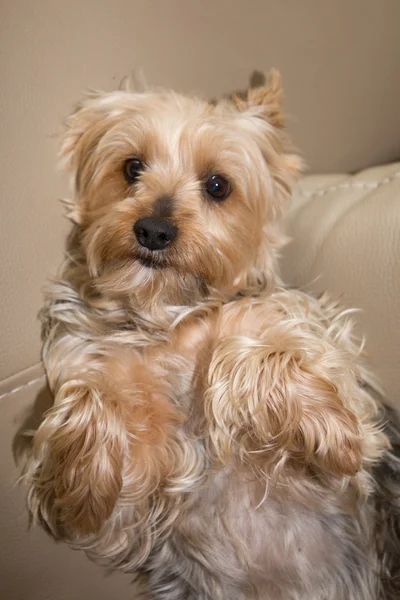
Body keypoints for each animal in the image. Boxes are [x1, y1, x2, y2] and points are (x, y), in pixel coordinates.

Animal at [25, 71, 400, 600]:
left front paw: (328, 427)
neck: (168, 315)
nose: (154, 230)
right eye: (132, 167)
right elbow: (99, 416)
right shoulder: (128, 514)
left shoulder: (340, 405)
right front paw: (85, 473)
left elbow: (264, 347)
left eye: (218, 186)